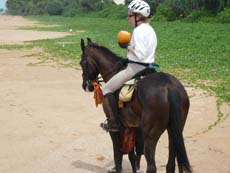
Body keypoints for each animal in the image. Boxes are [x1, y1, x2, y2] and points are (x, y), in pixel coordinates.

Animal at [80, 38, 191, 173]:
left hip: (150, 136)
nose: (86, 86)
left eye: (81, 63)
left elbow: (117, 155)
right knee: (170, 164)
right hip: (174, 130)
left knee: (151, 166)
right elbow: (131, 155)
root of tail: (169, 86)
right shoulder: (130, 127)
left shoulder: (116, 129)